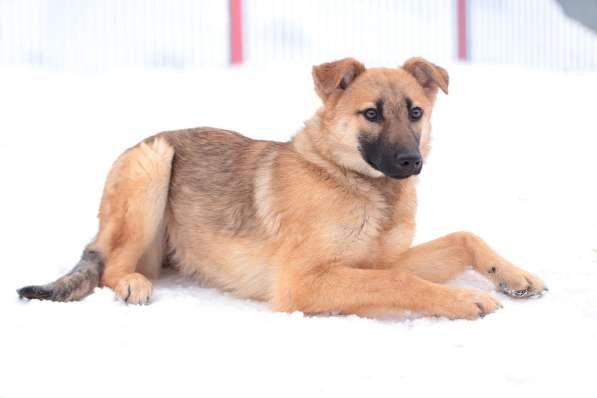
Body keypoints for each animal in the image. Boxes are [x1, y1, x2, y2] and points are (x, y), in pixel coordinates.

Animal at [16, 57, 544, 318]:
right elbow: (399, 282)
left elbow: (462, 237)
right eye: (371, 113)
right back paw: (131, 282)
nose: (411, 163)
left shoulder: (379, 260)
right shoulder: (304, 280)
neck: (358, 183)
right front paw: (463, 300)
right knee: (109, 266)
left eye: (415, 112)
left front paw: (513, 276)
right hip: (154, 160)